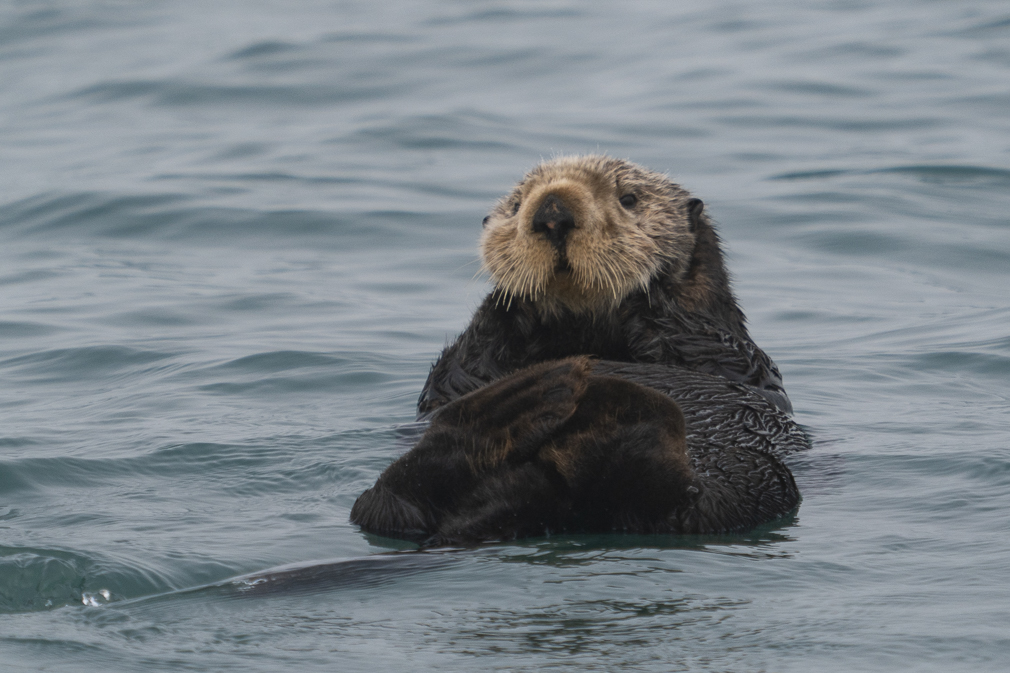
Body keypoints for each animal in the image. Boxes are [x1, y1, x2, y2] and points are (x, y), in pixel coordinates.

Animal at [351, 156, 807, 545]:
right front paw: (513, 299)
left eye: (629, 199)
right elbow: (458, 371)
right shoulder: (453, 379)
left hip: (755, 479)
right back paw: (532, 398)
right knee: (389, 503)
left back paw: (612, 408)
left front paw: (647, 287)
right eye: (516, 205)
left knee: (684, 505)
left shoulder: (734, 353)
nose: (552, 212)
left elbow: (707, 345)